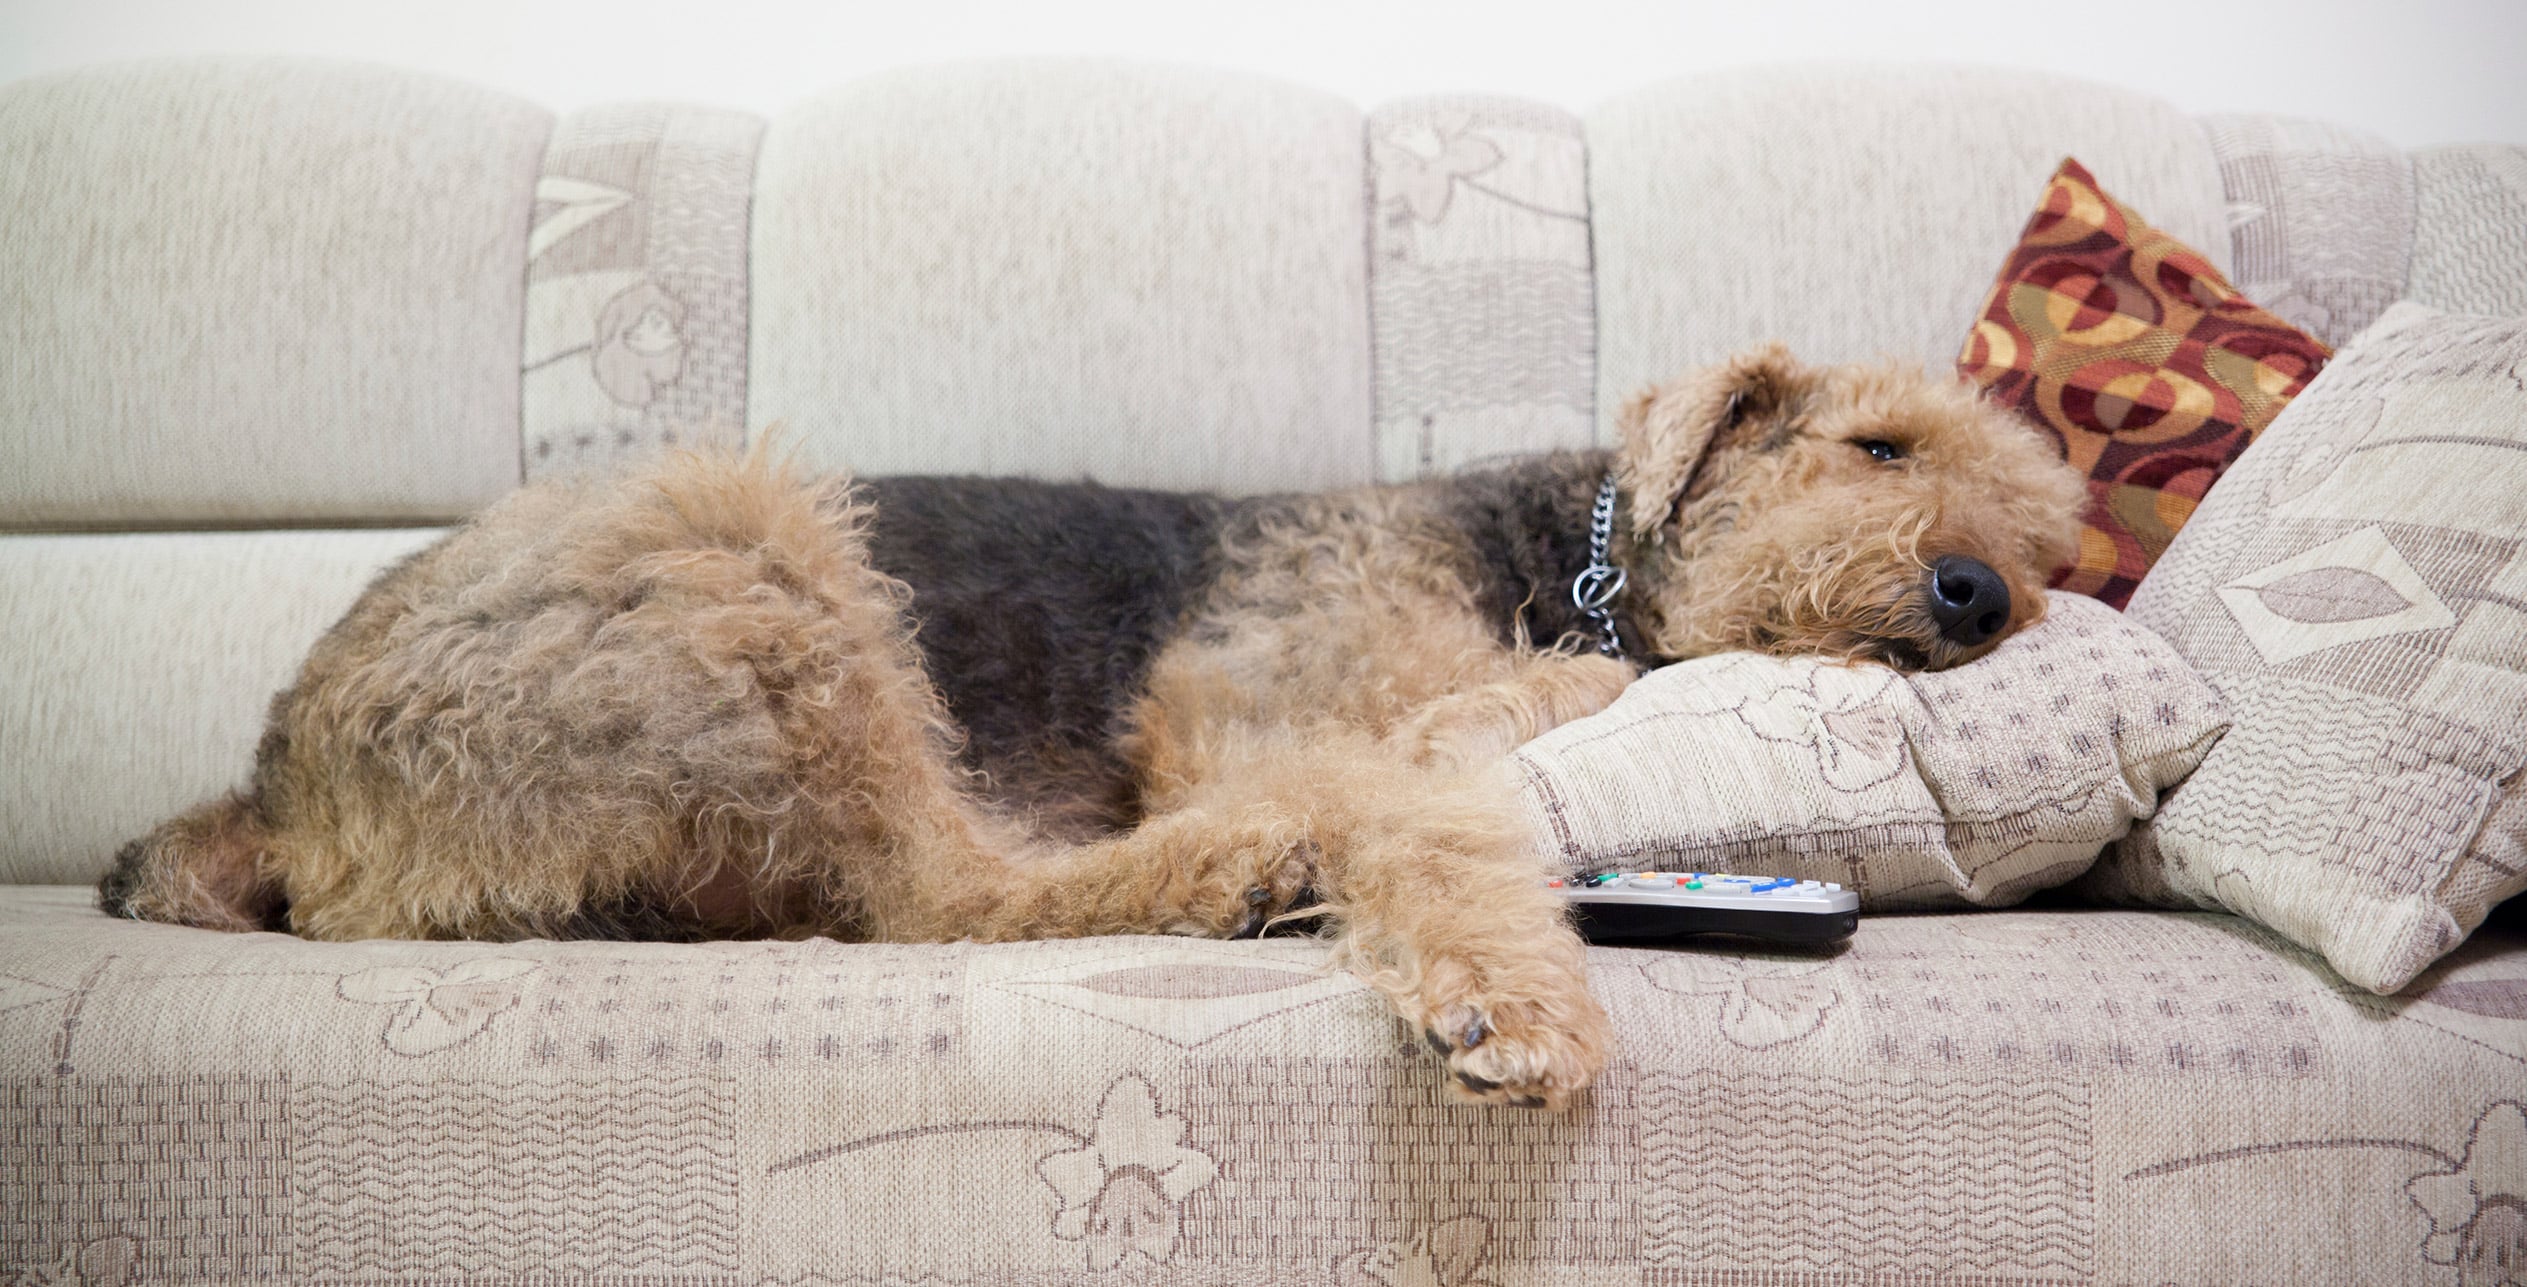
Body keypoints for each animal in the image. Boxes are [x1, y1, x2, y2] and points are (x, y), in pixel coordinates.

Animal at [93, 346, 2072, 1107]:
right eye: (1875, 442)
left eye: (2054, 538)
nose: (1980, 592)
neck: (1563, 561)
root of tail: (277, 784)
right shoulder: (1258, 706)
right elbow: (1452, 767)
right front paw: (1506, 1001)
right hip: (754, 551)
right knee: (940, 898)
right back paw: (1251, 864)